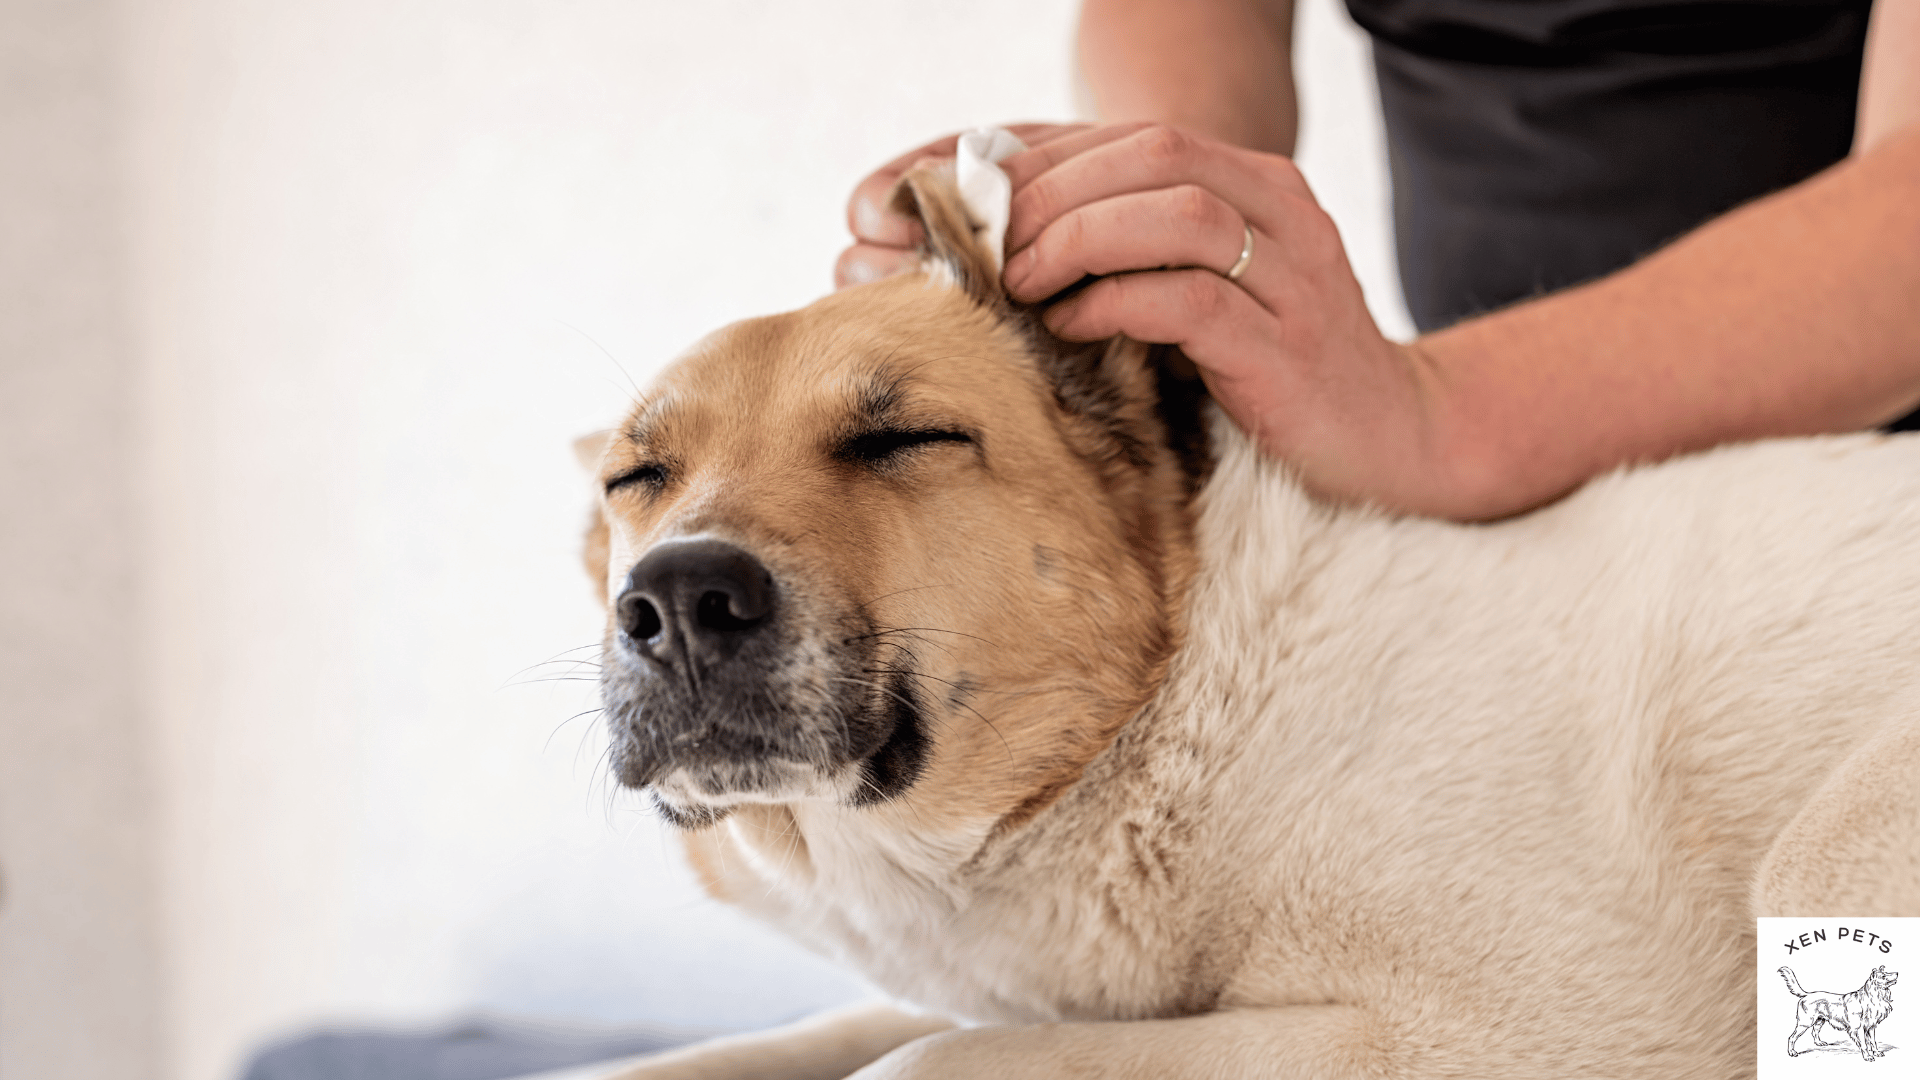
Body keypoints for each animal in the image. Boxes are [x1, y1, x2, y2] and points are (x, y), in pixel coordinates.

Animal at [576, 161, 1920, 1076]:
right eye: (636, 478)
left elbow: (921, 1059)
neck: (1184, 708)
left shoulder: (1495, 1034)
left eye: (903, 437)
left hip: (1827, 850)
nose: (679, 599)